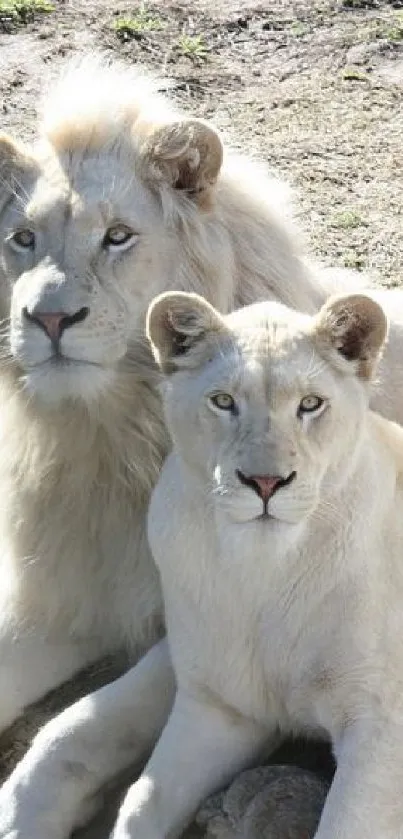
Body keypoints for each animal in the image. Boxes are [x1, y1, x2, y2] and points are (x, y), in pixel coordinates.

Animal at [108, 290, 403, 839]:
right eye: (223, 401)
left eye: (310, 404)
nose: (266, 483)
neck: (264, 568)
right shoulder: (222, 710)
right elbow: (140, 806)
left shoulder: (380, 726)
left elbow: (344, 824)